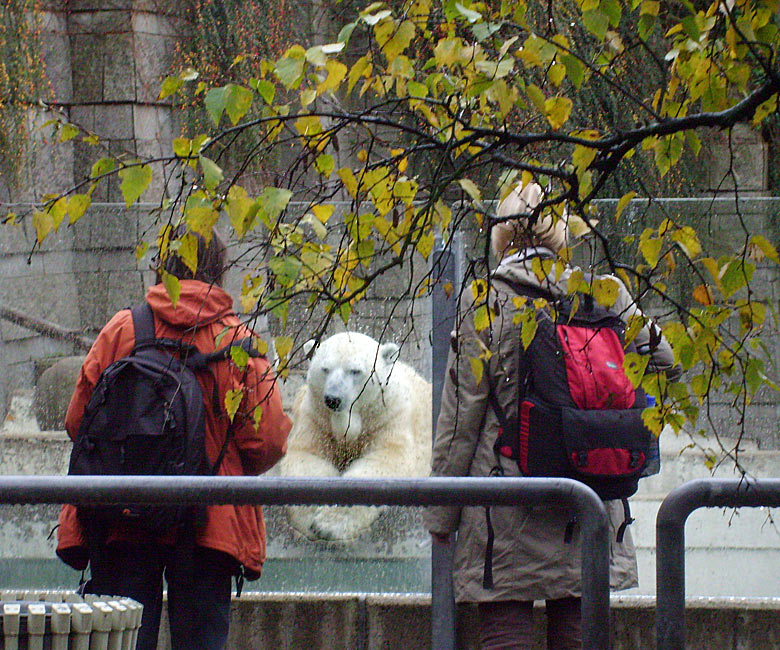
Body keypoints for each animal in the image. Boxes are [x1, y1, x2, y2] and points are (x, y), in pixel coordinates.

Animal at [280, 332, 432, 540]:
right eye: (325, 369)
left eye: (355, 371)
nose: (333, 399)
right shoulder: (317, 418)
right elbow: (306, 458)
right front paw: (310, 517)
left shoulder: (389, 416)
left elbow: (386, 460)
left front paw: (327, 524)